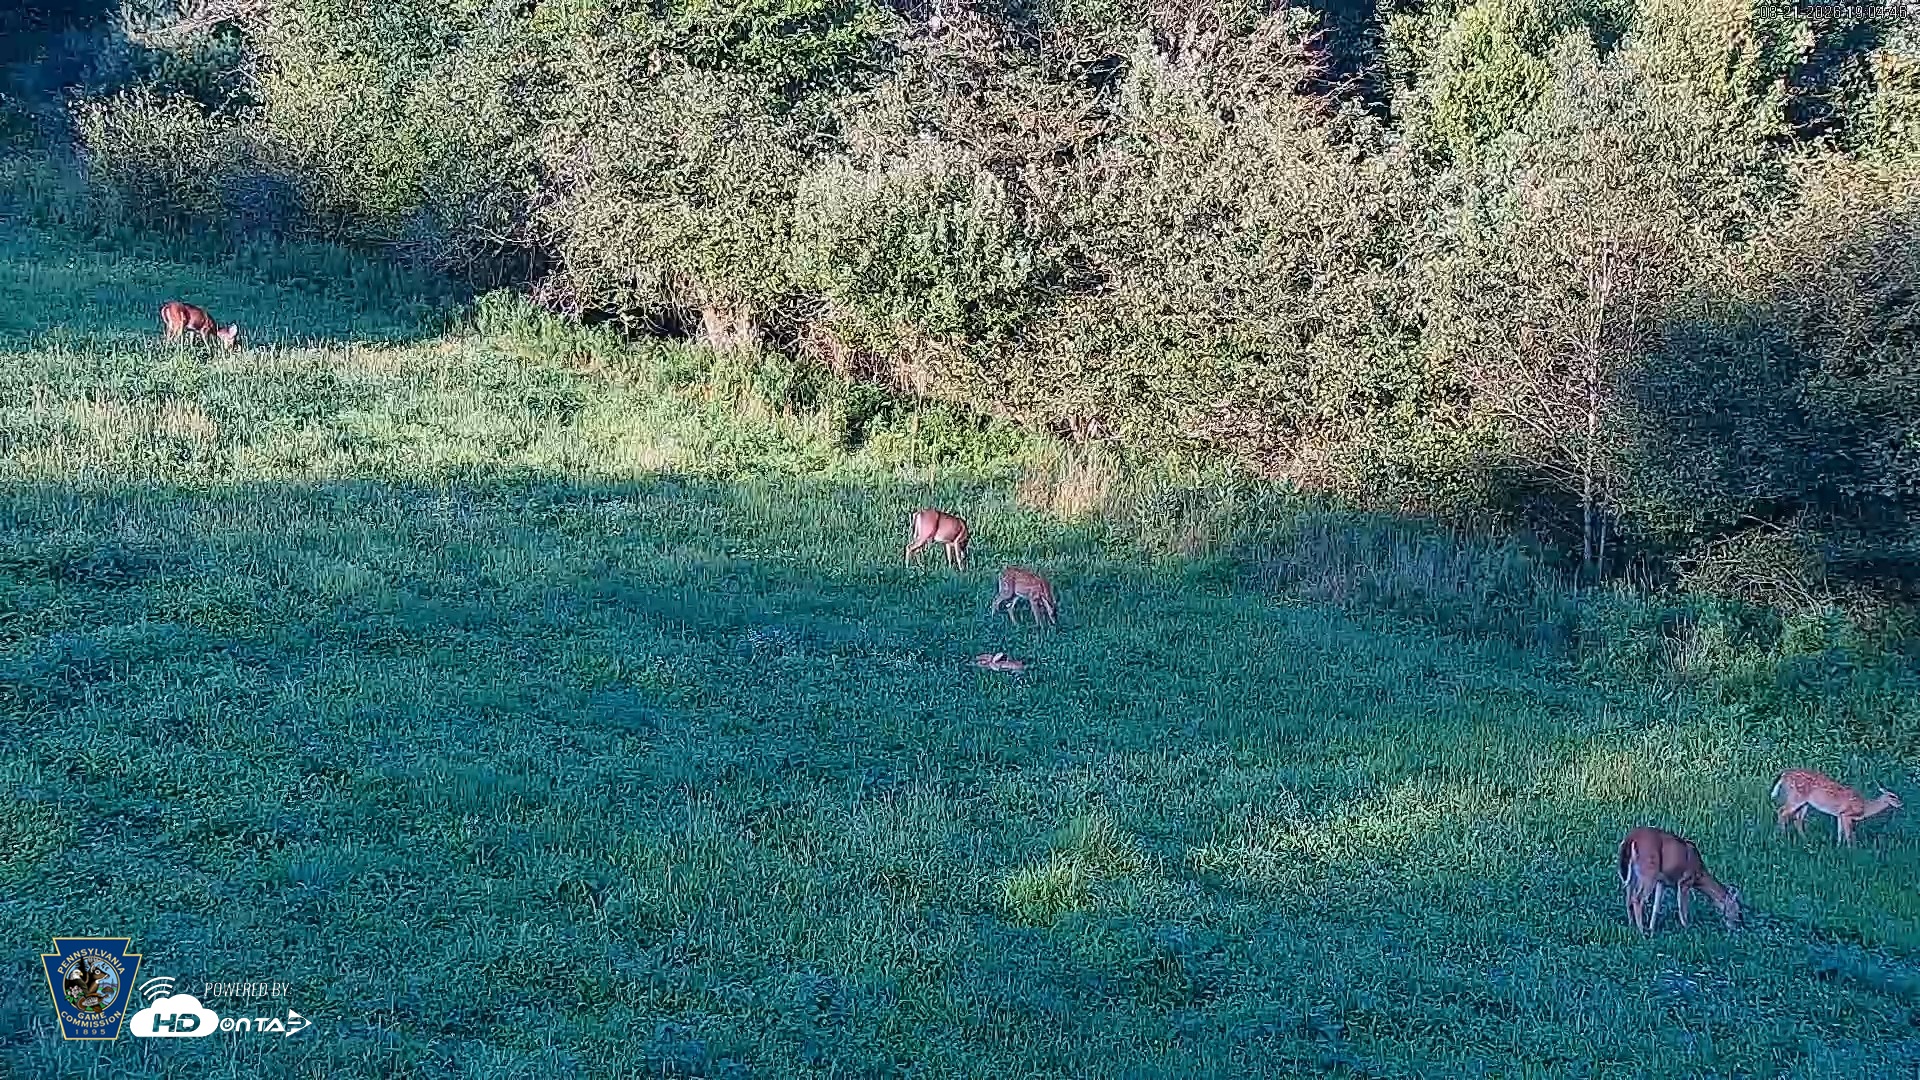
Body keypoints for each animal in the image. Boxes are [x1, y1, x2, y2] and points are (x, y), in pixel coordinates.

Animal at [1771, 769, 1903, 846]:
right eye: (1892, 796)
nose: (1901, 804)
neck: (1864, 808)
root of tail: (1784, 775)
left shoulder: (1839, 815)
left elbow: (1840, 832)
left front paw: (1838, 846)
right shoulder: (1846, 814)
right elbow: (1849, 835)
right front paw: (1852, 850)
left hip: (1805, 803)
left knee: (1797, 819)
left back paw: (1805, 840)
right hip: (1796, 797)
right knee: (1781, 811)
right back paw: (1782, 836)